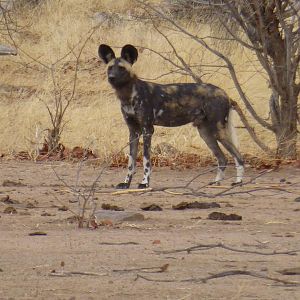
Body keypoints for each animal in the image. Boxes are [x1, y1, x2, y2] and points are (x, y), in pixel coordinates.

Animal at [98, 43, 244, 189]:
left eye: (121, 68)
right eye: (110, 68)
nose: (111, 77)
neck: (128, 94)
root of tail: (225, 94)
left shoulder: (147, 130)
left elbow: (146, 160)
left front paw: (145, 183)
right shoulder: (133, 131)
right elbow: (131, 161)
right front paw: (126, 183)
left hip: (218, 131)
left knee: (238, 157)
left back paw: (238, 182)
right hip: (205, 133)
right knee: (222, 158)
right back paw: (216, 182)